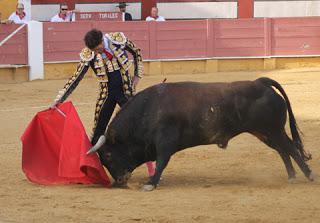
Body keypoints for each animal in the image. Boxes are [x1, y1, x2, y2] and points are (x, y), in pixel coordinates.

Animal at [87, 77, 312, 191]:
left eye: (108, 155)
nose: (119, 181)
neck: (148, 109)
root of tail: (260, 83)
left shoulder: (165, 141)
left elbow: (161, 161)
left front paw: (151, 183)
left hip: (273, 129)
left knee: (290, 148)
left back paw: (309, 175)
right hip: (264, 133)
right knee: (283, 150)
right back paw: (292, 176)